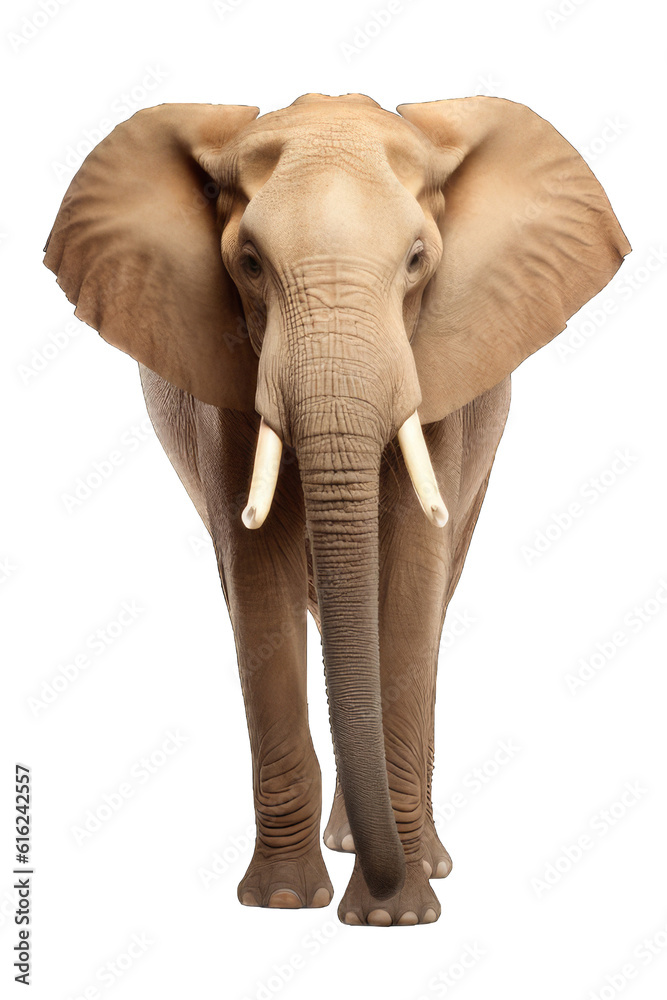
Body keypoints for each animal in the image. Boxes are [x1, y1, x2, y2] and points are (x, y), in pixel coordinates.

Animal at [44, 92, 630, 926]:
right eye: (248, 264)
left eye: (417, 259)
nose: (380, 893)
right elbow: (258, 585)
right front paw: (288, 901)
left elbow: (412, 579)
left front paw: (397, 913)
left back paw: (415, 857)